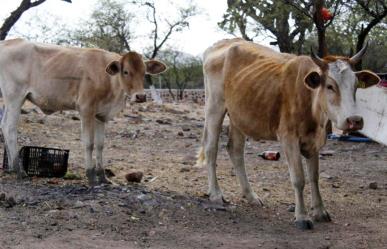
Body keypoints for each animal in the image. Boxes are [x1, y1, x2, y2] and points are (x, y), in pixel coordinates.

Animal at [199, 38, 380, 230]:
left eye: (355, 86)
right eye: (330, 86)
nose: (354, 120)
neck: (310, 101)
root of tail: (225, 43)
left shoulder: (313, 141)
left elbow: (314, 177)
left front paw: (320, 211)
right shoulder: (288, 138)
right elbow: (299, 178)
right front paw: (302, 217)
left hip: (239, 116)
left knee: (235, 150)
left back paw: (251, 196)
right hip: (214, 106)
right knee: (211, 148)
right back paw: (216, 193)